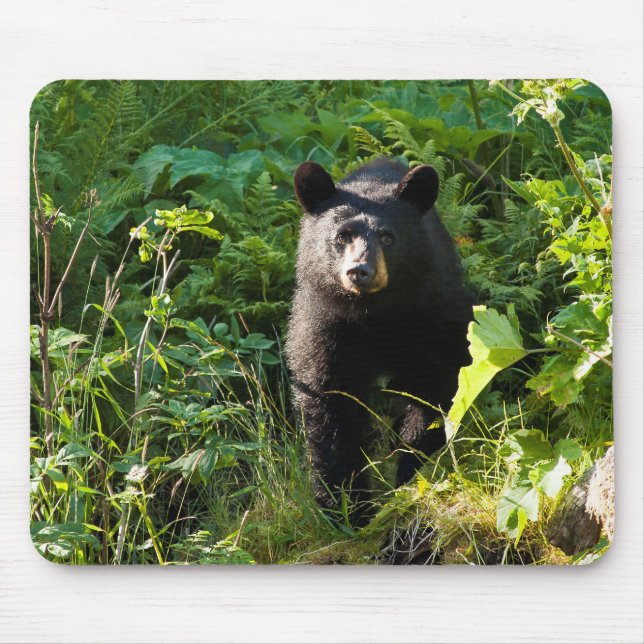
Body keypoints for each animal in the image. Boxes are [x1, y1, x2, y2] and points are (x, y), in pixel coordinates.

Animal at [285, 158, 473, 523]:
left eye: (388, 237)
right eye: (342, 236)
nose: (360, 271)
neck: (375, 313)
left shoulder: (432, 314)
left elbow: (434, 387)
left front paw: (411, 472)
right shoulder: (324, 325)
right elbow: (330, 403)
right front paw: (346, 507)